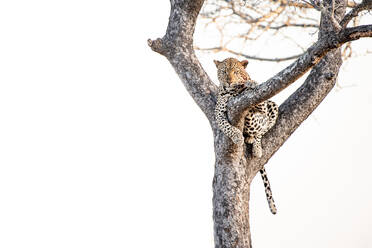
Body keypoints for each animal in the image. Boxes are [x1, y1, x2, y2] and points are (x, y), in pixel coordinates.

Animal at [214, 58, 278, 215]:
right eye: (224, 72)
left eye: (236, 72)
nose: (229, 81)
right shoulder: (218, 114)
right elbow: (227, 126)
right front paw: (237, 136)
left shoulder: (262, 108)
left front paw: (250, 83)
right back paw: (247, 138)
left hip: (273, 105)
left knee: (263, 130)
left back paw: (256, 148)